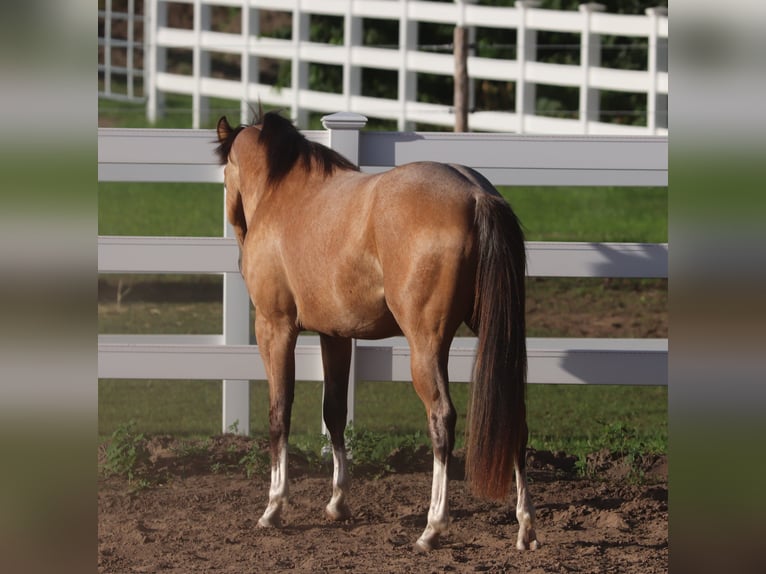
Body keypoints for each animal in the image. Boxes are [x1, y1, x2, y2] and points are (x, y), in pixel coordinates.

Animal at [214, 109, 538, 552]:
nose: (237, 232)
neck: (285, 195)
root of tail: (475, 195)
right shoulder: (335, 335)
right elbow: (334, 413)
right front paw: (337, 503)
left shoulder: (274, 327)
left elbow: (279, 414)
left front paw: (274, 507)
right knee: (516, 420)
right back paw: (525, 527)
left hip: (425, 345)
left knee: (441, 420)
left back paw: (432, 527)